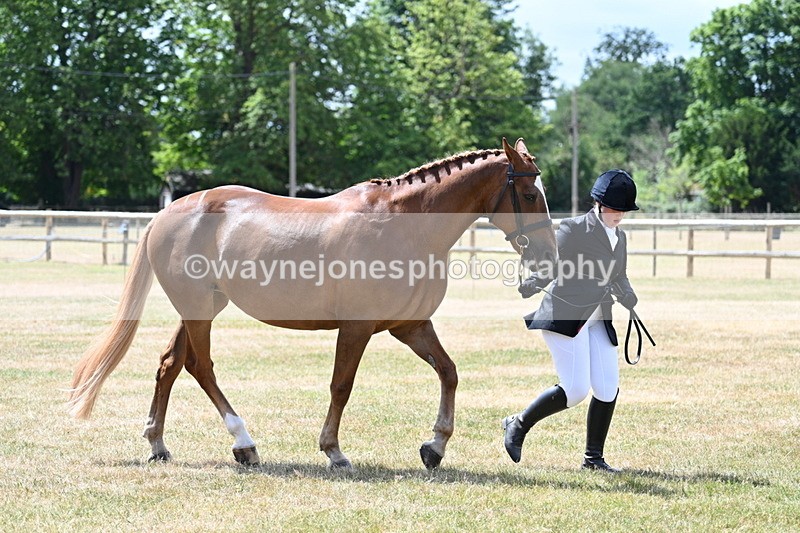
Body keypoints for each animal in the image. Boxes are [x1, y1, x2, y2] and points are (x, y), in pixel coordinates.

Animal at [67, 138, 557, 470]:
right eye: (530, 195)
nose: (548, 258)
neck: (404, 225)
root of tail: (169, 212)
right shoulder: (357, 327)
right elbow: (342, 385)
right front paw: (333, 451)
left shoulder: (411, 325)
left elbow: (449, 372)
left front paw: (434, 447)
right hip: (200, 311)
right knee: (200, 367)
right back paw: (243, 443)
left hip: (200, 308)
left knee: (170, 364)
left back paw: (158, 444)